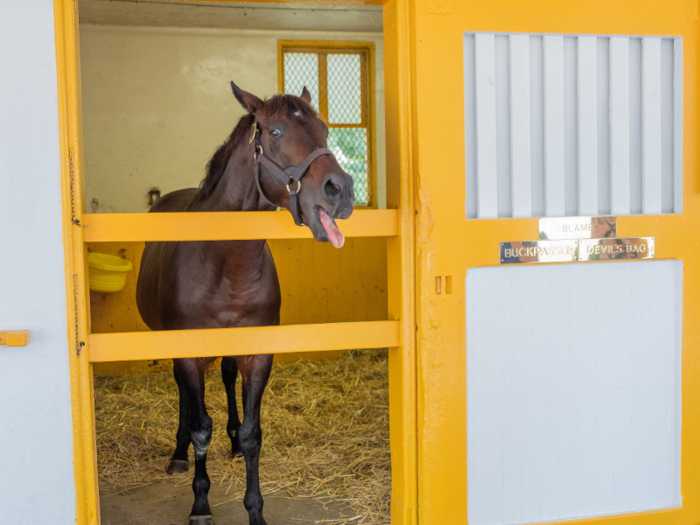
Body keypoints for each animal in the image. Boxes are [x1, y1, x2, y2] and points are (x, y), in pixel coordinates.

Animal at [137, 83, 356, 524]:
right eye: (275, 131)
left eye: (325, 129)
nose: (340, 189)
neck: (225, 262)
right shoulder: (188, 353)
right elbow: (200, 426)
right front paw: (200, 503)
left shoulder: (258, 353)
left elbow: (254, 432)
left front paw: (254, 507)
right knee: (185, 396)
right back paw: (178, 453)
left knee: (226, 378)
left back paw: (233, 442)